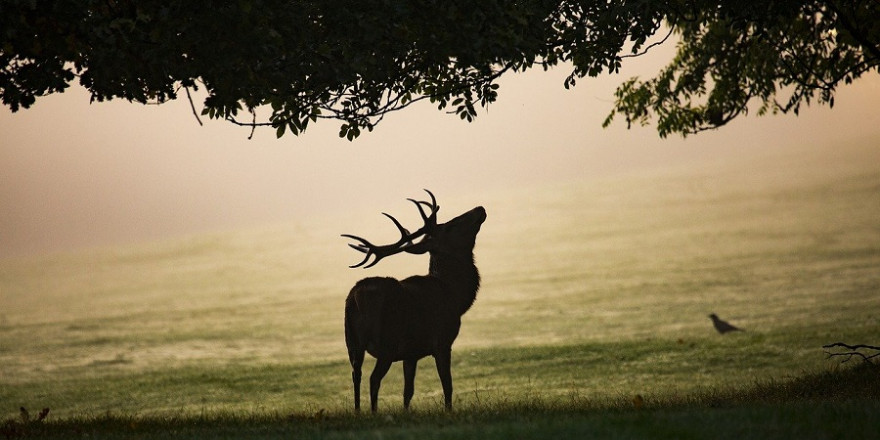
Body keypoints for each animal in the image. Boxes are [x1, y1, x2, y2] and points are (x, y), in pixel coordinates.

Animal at [342, 190, 488, 412]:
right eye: (450, 226)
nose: (479, 208)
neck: (455, 296)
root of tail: (355, 299)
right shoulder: (442, 341)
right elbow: (448, 385)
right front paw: (448, 411)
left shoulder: (410, 353)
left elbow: (407, 392)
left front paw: (406, 412)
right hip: (387, 342)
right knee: (373, 379)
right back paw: (373, 412)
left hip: (352, 342)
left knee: (355, 375)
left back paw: (358, 412)